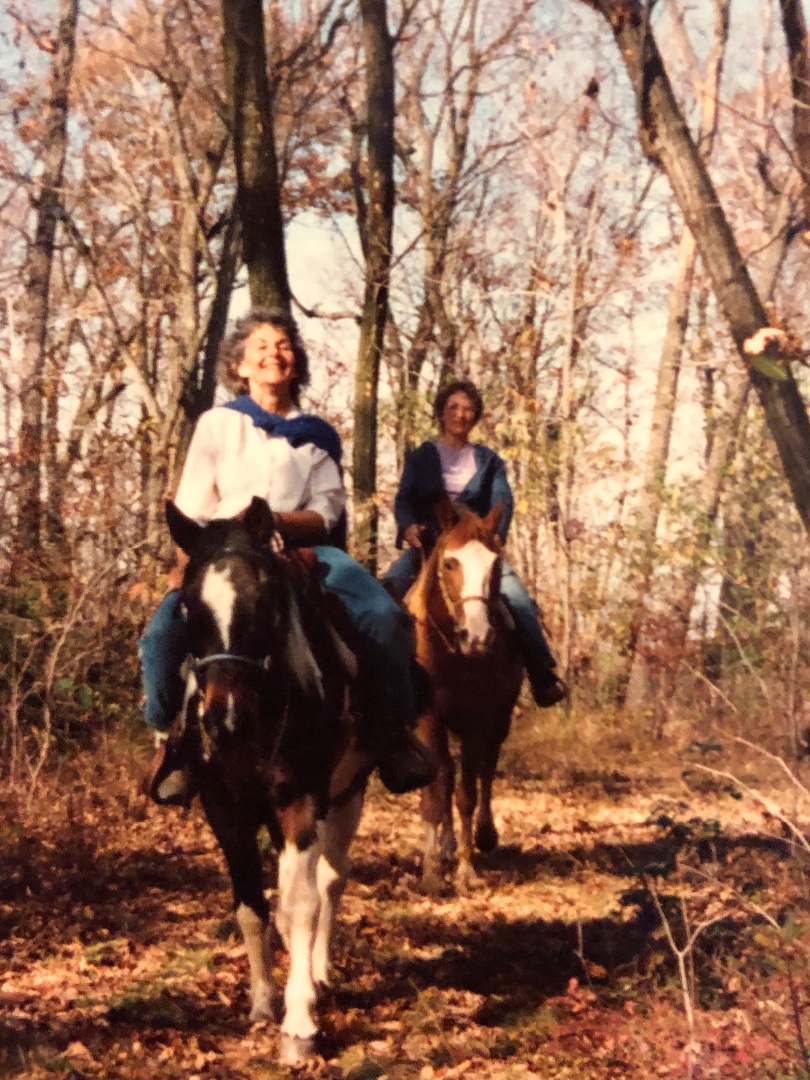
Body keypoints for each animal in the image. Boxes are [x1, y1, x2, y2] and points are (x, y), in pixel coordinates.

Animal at [164, 496, 372, 1064]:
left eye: (267, 602)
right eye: (187, 606)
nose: (226, 719)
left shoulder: (300, 803)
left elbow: (299, 906)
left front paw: (299, 1024)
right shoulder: (225, 810)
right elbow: (252, 908)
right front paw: (262, 1000)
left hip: (347, 795)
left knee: (329, 881)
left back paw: (319, 974)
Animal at [404, 499, 524, 894]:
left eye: (496, 564)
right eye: (449, 563)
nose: (477, 636)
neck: (452, 654)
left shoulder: (477, 719)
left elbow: (467, 794)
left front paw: (466, 870)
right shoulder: (428, 719)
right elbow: (435, 791)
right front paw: (430, 873)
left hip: (499, 720)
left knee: (486, 770)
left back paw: (483, 837)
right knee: (446, 773)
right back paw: (445, 847)